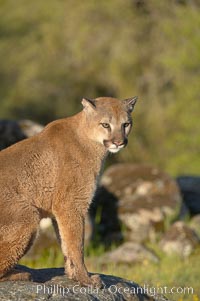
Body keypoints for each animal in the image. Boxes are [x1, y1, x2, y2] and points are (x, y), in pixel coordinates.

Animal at [0, 95, 138, 286]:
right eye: (105, 124)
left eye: (126, 124)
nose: (119, 142)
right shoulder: (71, 203)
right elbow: (76, 244)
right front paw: (85, 279)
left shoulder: (61, 209)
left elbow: (66, 243)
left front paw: (73, 275)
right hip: (27, 215)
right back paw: (20, 274)